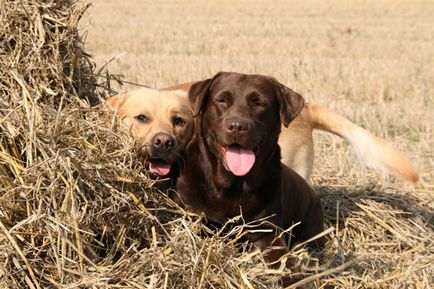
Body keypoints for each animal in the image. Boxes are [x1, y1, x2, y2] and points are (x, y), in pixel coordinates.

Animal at [175, 72, 324, 284]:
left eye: (259, 104)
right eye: (222, 100)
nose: (237, 126)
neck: (231, 186)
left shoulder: (268, 231)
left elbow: (283, 260)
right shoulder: (192, 217)